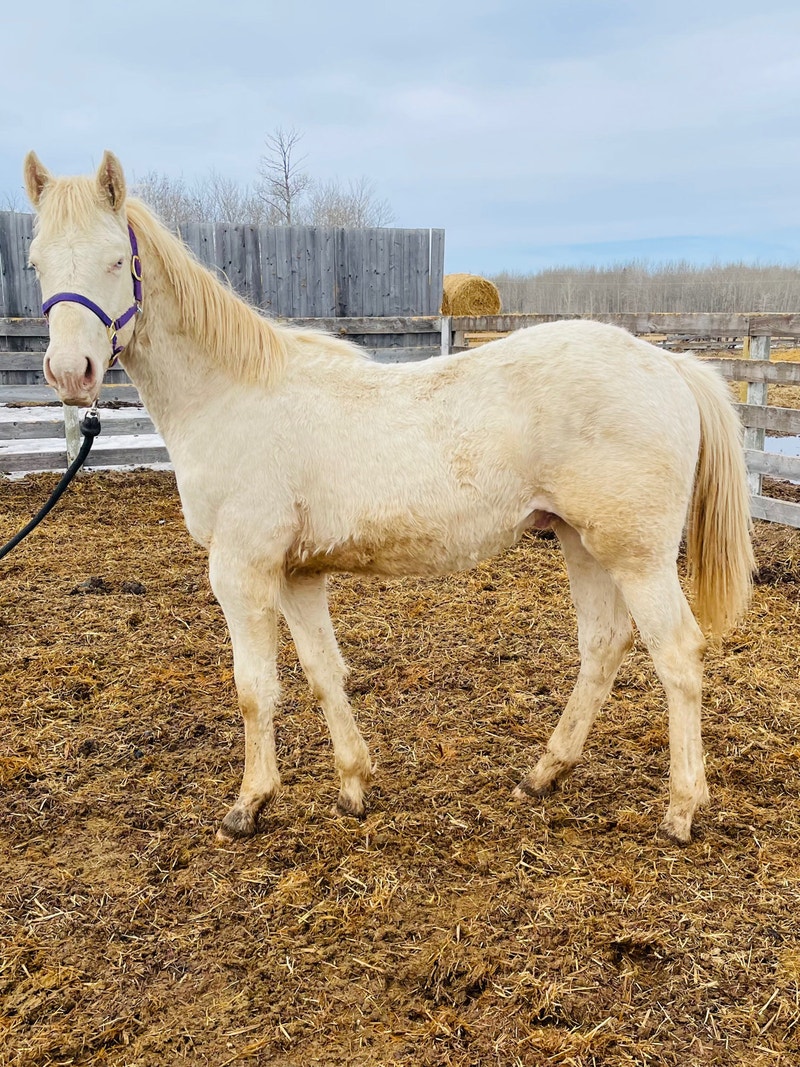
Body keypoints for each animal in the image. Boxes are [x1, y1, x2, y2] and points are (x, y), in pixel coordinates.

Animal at [22, 150, 754, 845]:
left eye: (115, 259)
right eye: (36, 265)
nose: (69, 373)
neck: (234, 394)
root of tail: (668, 364)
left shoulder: (241, 568)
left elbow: (255, 690)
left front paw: (249, 804)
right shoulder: (297, 573)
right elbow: (323, 671)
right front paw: (354, 784)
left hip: (637, 555)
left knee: (677, 656)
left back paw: (681, 809)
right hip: (582, 542)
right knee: (603, 646)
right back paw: (544, 773)